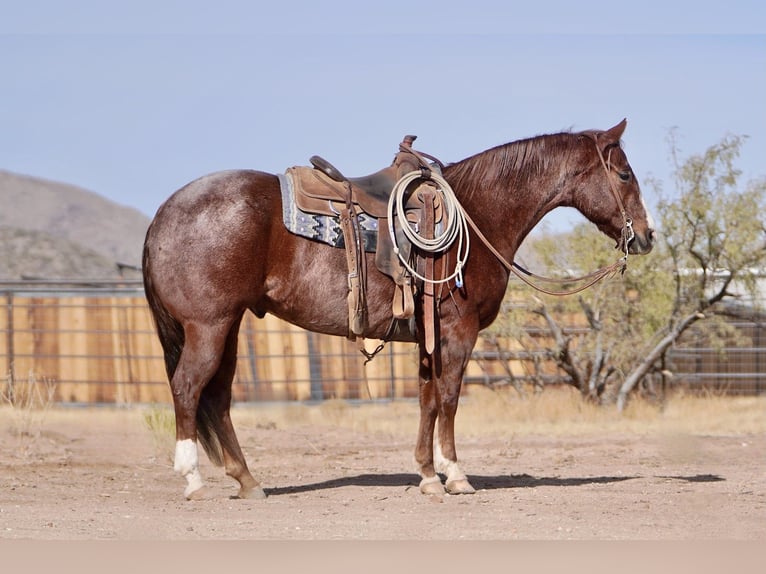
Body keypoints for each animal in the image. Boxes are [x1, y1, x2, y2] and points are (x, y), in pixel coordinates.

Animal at [142, 119, 655, 500]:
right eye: (624, 174)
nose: (646, 236)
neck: (478, 212)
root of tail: (165, 213)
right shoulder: (459, 331)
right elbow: (448, 397)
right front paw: (456, 475)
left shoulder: (430, 335)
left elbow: (427, 400)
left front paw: (428, 475)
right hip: (208, 327)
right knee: (188, 389)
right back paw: (192, 479)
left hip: (226, 328)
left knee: (218, 398)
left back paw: (248, 481)